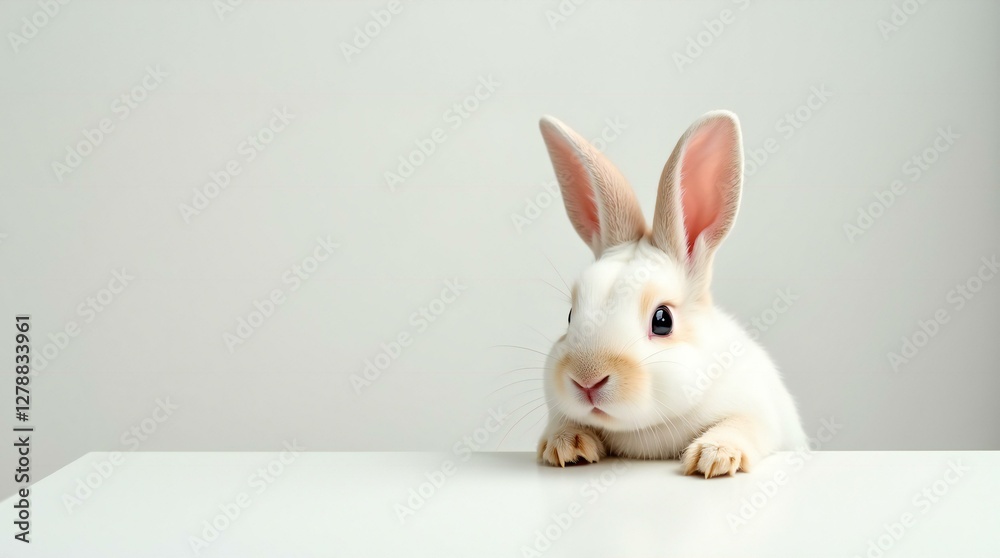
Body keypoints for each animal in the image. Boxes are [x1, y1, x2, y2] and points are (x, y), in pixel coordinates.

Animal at [535, 110, 807, 478]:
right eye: (569, 316)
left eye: (663, 320)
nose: (587, 381)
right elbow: (562, 423)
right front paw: (566, 446)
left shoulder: (759, 412)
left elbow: (740, 425)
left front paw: (715, 455)